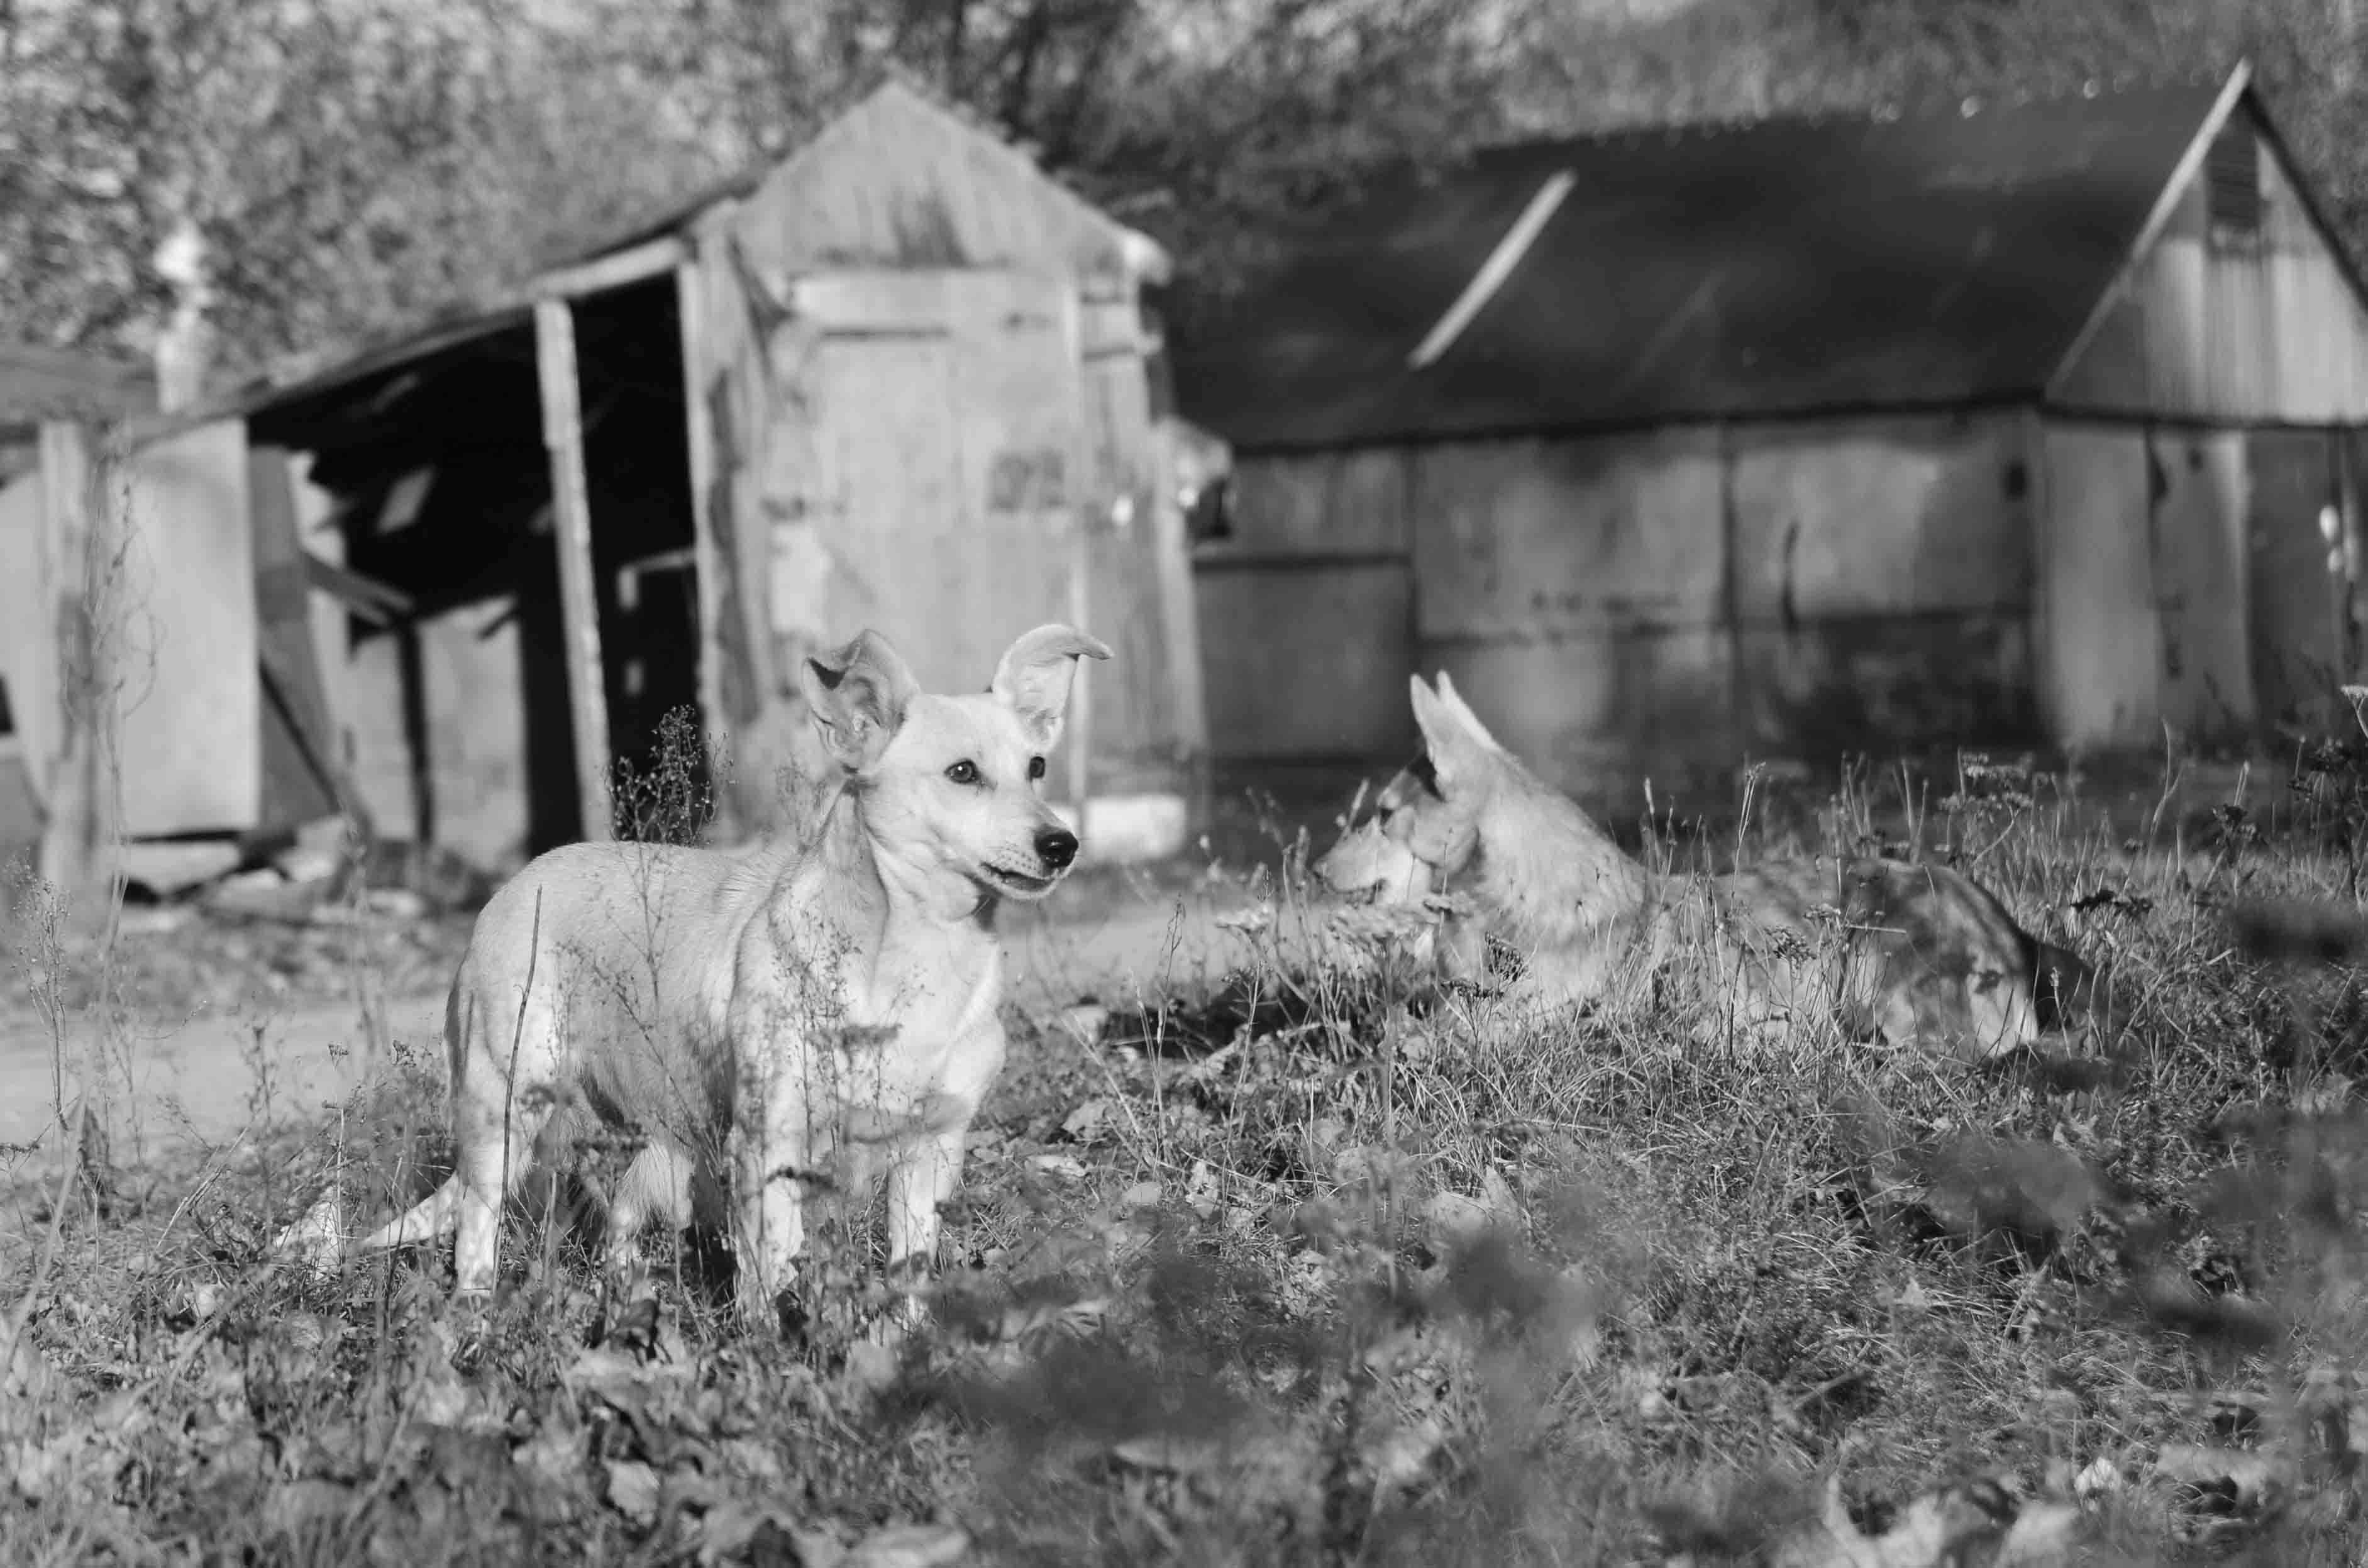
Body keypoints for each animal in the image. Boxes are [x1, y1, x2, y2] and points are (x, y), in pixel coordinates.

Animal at [302, 623, 1110, 1328]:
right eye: (962, 773)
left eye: (1037, 767)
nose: (1062, 844)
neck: (912, 951)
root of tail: (510, 884)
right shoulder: (769, 1142)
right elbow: (772, 1272)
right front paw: (771, 1354)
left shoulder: (931, 1150)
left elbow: (906, 1273)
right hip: (506, 1105)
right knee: (477, 1221)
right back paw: (475, 1315)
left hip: (650, 1152)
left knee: (617, 1230)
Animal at [1315, 673, 2101, 1060]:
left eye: (1381, 814)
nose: (1316, 874)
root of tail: (2015, 935)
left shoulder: (1525, 1019)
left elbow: (1411, 1039)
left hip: (1873, 958)